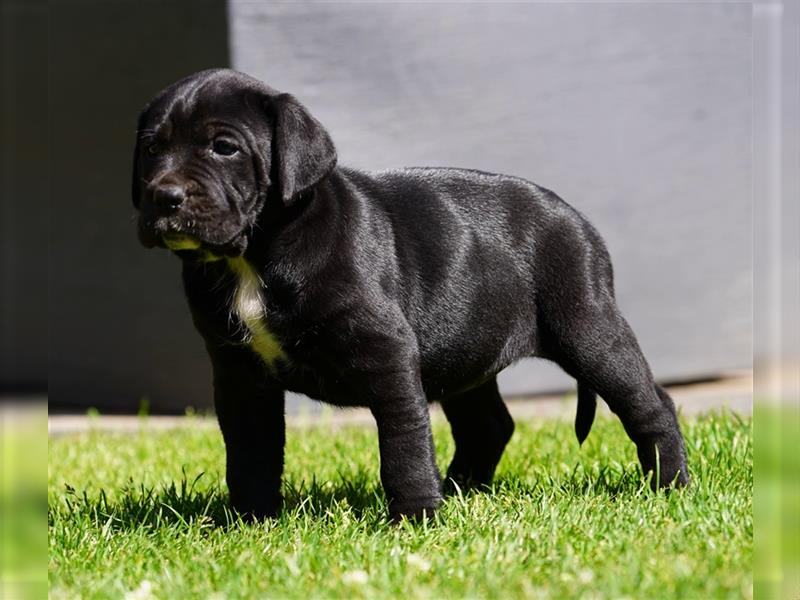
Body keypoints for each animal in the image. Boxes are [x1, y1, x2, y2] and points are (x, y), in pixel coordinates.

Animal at [131, 69, 688, 520]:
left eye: (223, 148)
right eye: (152, 150)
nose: (164, 196)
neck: (253, 253)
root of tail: (578, 221)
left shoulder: (388, 353)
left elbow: (403, 441)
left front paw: (417, 516)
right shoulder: (240, 372)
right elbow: (251, 450)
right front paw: (251, 521)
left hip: (588, 329)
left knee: (650, 403)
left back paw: (670, 486)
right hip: (468, 351)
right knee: (490, 425)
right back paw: (461, 491)